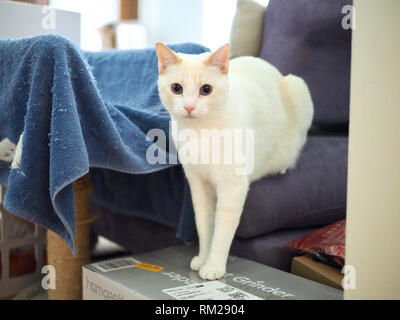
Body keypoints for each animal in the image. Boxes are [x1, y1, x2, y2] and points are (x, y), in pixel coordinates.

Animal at [155, 43, 314, 280]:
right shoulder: (198, 185)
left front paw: (213, 266)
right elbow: (204, 225)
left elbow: (222, 230)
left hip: (299, 88)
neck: (201, 132)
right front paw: (203, 258)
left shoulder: (232, 187)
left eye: (206, 89)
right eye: (176, 88)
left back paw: (282, 166)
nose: (189, 107)